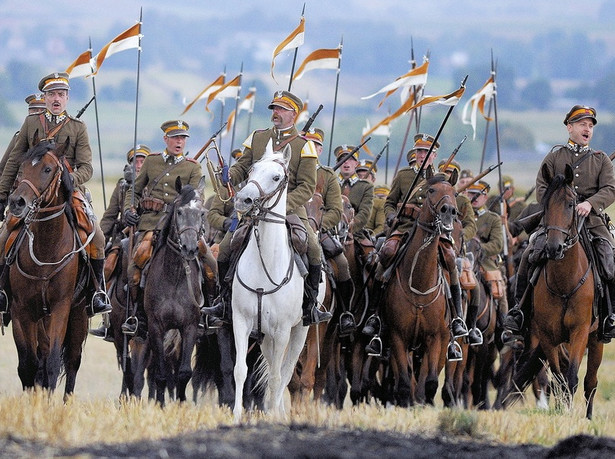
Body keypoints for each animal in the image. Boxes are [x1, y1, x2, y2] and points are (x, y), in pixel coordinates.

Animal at [6, 139, 89, 398]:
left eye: (47, 169)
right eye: (21, 168)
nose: (17, 202)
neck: (46, 248)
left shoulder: (61, 307)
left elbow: (52, 362)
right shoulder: (21, 309)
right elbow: (28, 365)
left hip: (78, 314)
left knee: (72, 361)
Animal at [144, 177, 207, 406]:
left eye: (202, 213)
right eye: (179, 211)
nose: (190, 249)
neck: (175, 276)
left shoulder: (189, 327)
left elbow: (184, 372)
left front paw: (180, 405)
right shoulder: (155, 327)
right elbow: (161, 374)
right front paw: (161, 406)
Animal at [231, 138, 308, 422]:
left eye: (276, 177)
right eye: (252, 170)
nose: (244, 200)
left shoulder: (283, 330)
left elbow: (276, 376)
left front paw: (273, 416)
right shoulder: (241, 321)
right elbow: (240, 370)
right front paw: (236, 416)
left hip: (299, 331)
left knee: (285, 371)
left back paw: (279, 412)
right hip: (264, 336)